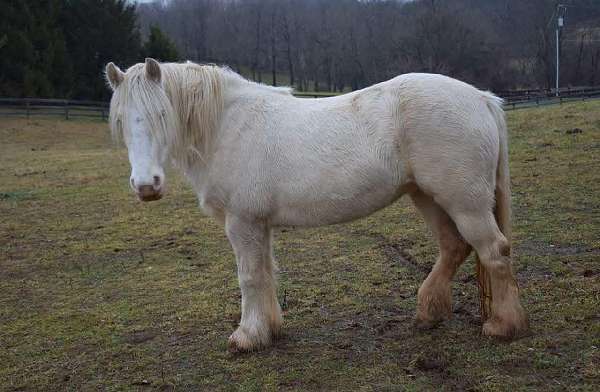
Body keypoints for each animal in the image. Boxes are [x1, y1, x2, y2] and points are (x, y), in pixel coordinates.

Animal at [105, 58, 528, 352]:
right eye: (121, 120)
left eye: (162, 115)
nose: (146, 186)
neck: (228, 127)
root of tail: (482, 99)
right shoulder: (258, 224)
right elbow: (266, 273)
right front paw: (270, 329)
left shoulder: (242, 222)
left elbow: (250, 276)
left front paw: (246, 337)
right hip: (427, 196)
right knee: (454, 247)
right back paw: (427, 313)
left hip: (465, 203)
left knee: (494, 251)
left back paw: (503, 326)